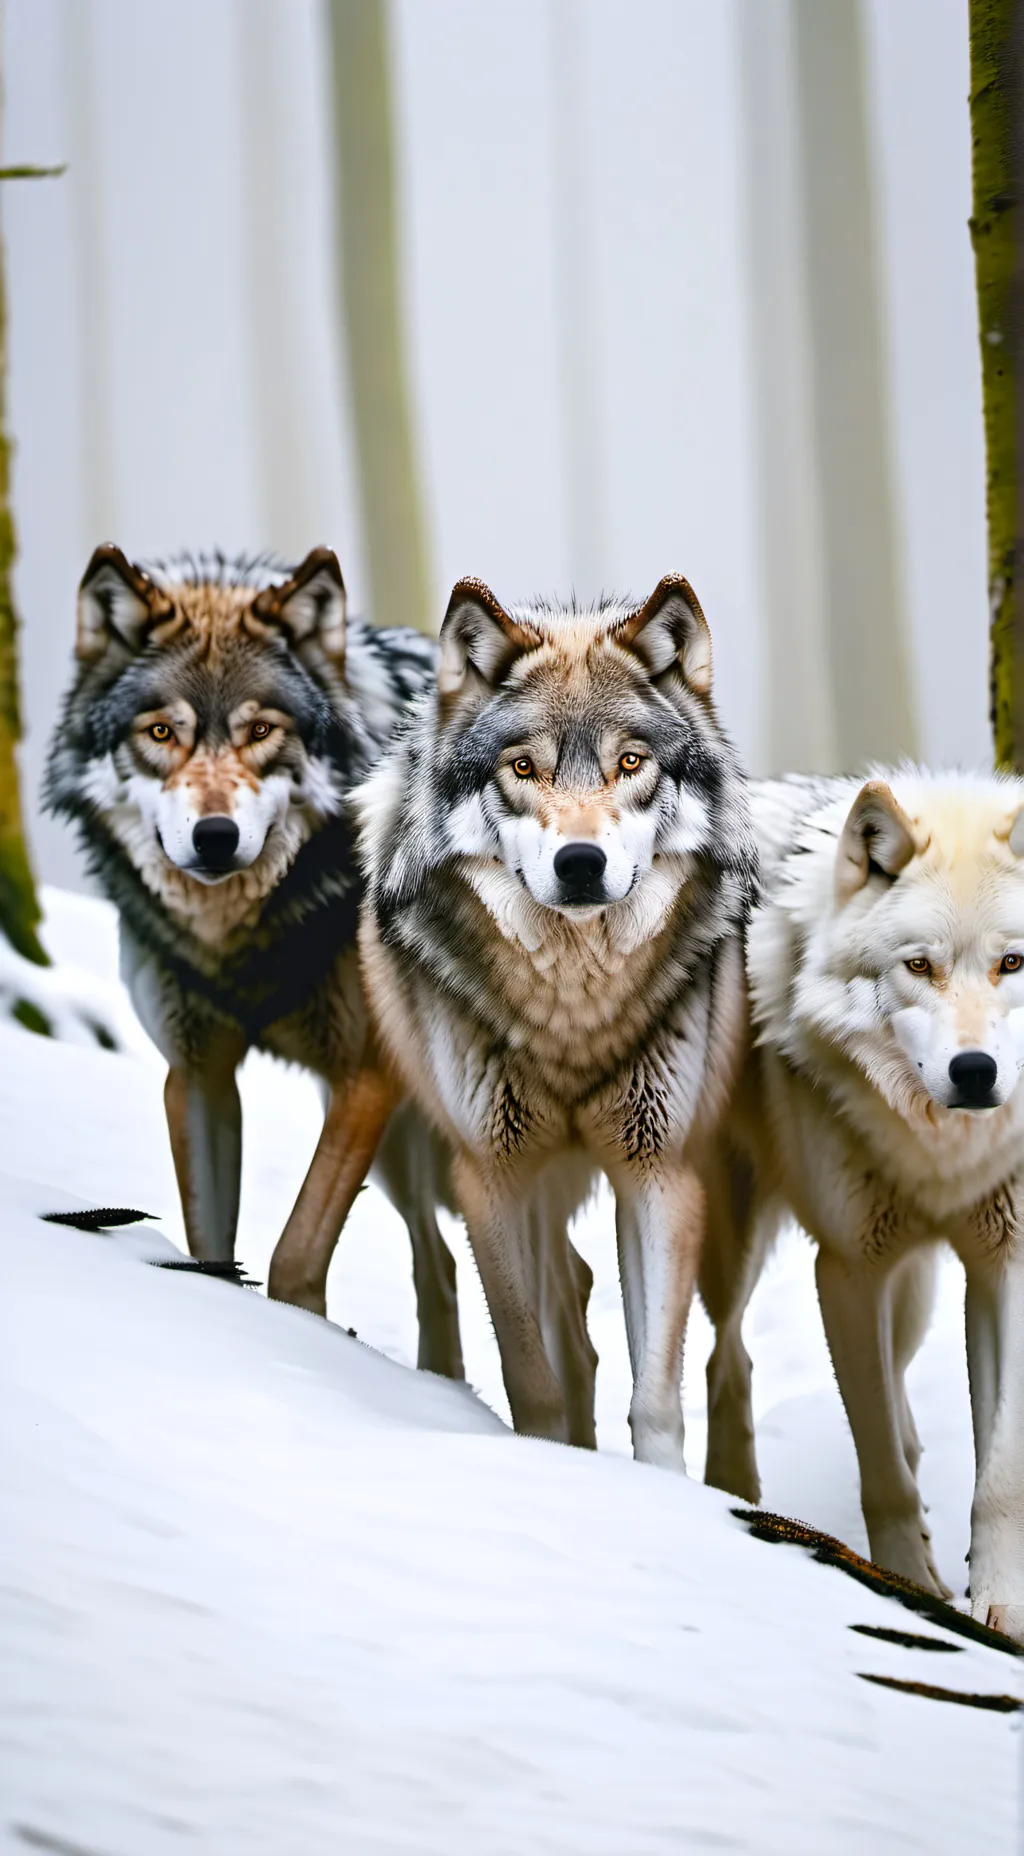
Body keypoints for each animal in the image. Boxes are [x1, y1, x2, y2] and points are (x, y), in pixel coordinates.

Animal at [46, 542, 464, 1372]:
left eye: (261, 730)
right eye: (161, 733)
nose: (215, 837)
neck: (242, 938)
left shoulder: (364, 1078)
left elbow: (296, 1253)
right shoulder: (197, 1075)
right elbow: (207, 1245)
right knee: (447, 1270)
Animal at [357, 573, 758, 1463]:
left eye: (630, 763)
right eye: (523, 768)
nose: (580, 864)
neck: (574, 1015)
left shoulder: (659, 1173)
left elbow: (656, 1395)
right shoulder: (491, 1177)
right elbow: (530, 1374)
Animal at [701, 769, 1024, 1641]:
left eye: (1013, 963)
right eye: (919, 965)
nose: (976, 1072)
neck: (941, 1155)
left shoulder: (1007, 1265)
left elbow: (1000, 1472)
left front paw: (1001, 1606)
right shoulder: (847, 1270)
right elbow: (878, 1466)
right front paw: (910, 1586)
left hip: (915, 1296)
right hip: (728, 1246)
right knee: (725, 1357)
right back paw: (725, 1489)